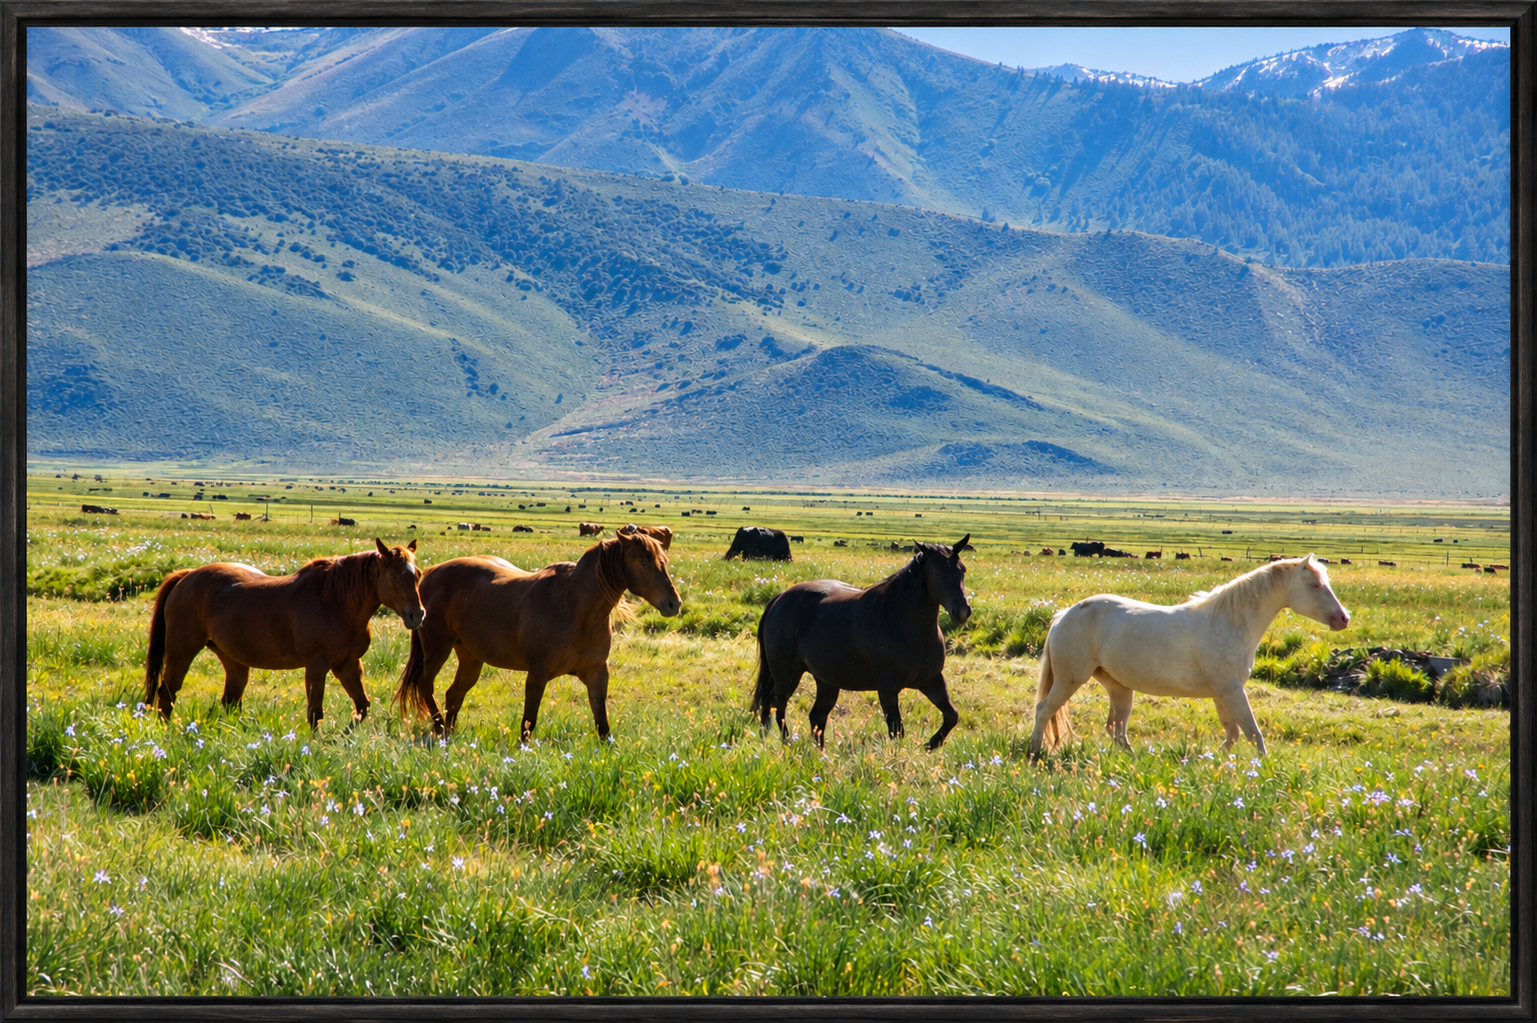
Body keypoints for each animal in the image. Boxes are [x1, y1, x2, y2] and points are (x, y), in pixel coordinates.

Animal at [144, 539, 425, 729]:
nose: (417, 615)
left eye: (418, 574)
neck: (335, 602)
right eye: (394, 575)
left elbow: (362, 706)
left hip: (234, 661)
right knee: (166, 695)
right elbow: (315, 713)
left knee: (230, 702)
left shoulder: (347, 665)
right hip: (181, 654)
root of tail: (186, 577)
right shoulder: (316, 667)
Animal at [394, 531, 681, 739]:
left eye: (664, 562)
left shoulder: (597, 673)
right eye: (644, 562)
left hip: (470, 657)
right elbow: (528, 722)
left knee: (454, 694)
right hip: (437, 648)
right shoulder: (537, 673)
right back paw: (440, 729)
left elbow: (602, 725)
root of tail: (429, 575)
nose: (673, 603)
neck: (577, 607)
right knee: (425, 684)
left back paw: (450, 733)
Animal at [752, 535, 972, 750]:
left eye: (962, 569)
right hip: (786, 676)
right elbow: (896, 730)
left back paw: (820, 754)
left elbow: (951, 716)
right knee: (776, 706)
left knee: (815, 716)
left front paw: (931, 744)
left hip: (826, 681)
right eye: (937, 573)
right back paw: (786, 743)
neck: (899, 621)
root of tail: (780, 598)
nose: (962, 611)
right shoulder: (887, 688)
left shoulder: (931, 680)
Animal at [1028, 554, 1349, 758]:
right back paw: (1034, 752)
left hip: (1119, 688)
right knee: (1044, 710)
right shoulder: (1231, 690)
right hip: (1071, 680)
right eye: (1316, 585)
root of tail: (1062, 615)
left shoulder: (1223, 694)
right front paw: (1263, 766)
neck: (1229, 622)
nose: (1344, 619)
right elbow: (1252, 732)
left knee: (1115, 728)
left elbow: (1233, 734)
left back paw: (1132, 758)